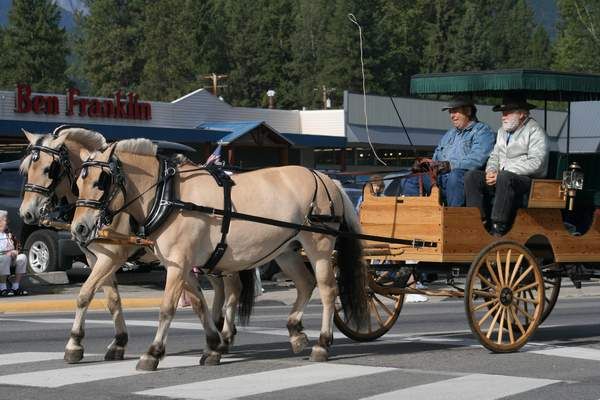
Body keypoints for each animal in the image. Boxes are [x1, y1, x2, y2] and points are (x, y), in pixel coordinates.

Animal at [71, 139, 370, 370]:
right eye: (77, 183)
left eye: (100, 181)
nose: (79, 228)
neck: (168, 196)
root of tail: (327, 178)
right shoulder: (181, 265)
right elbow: (200, 304)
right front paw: (213, 346)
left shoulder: (175, 265)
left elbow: (167, 308)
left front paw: (152, 353)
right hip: (286, 250)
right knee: (305, 284)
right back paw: (295, 332)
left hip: (319, 246)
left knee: (328, 290)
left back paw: (322, 344)